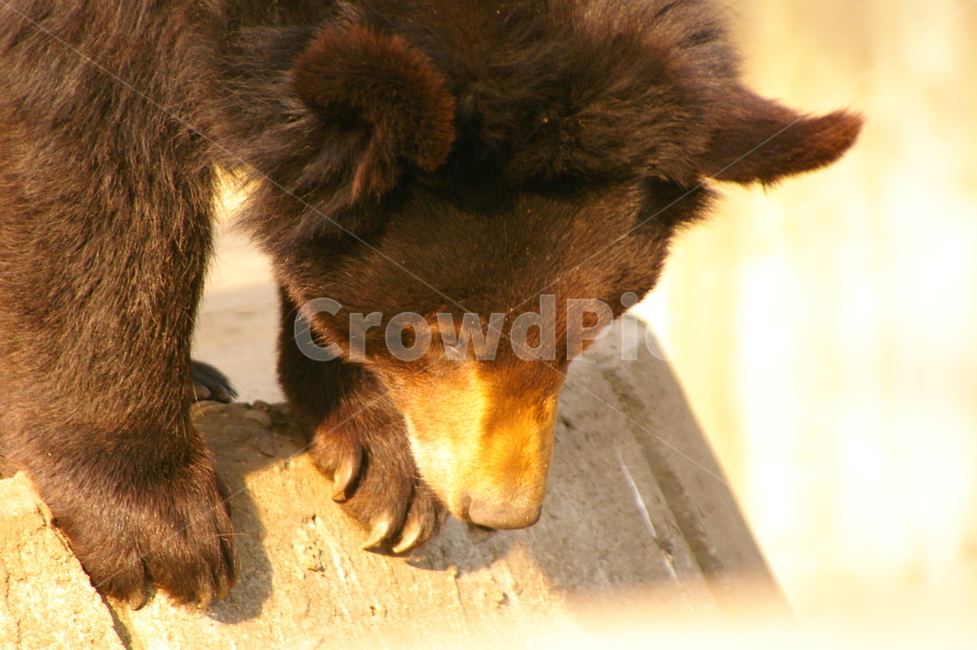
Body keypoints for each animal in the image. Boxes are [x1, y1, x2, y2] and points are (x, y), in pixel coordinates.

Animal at [0, 0, 861, 608]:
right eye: (434, 333)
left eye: (589, 326)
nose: (500, 510)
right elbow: (92, 165)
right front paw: (160, 535)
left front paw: (385, 472)